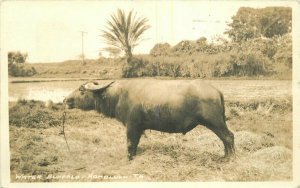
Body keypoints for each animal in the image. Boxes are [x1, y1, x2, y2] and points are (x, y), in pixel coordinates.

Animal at [64, 79, 236, 160]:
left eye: (81, 91)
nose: (65, 100)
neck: (118, 95)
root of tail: (216, 90)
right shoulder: (139, 128)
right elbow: (135, 144)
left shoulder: (132, 126)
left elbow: (130, 144)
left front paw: (129, 159)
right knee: (225, 138)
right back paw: (225, 156)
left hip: (214, 122)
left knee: (228, 136)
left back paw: (230, 158)